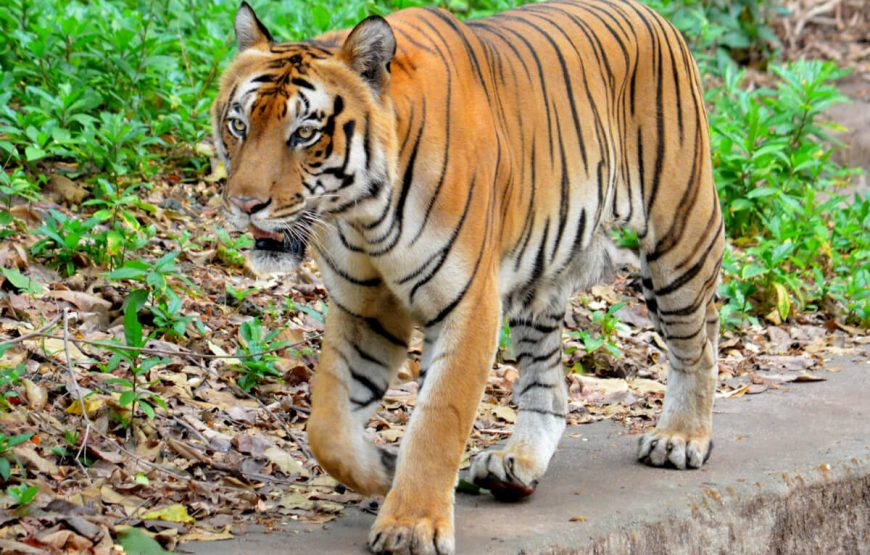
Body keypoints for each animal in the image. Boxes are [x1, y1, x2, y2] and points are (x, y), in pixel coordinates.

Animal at [215, 1, 724, 552]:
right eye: (239, 125)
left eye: (305, 133)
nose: (244, 204)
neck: (361, 214)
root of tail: (656, 16)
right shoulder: (365, 306)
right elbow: (328, 427)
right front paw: (385, 469)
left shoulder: (468, 303)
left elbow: (439, 421)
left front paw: (410, 525)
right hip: (539, 281)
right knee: (548, 384)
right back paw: (516, 464)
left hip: (680, 240)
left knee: (697, 344)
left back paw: (680, 438)